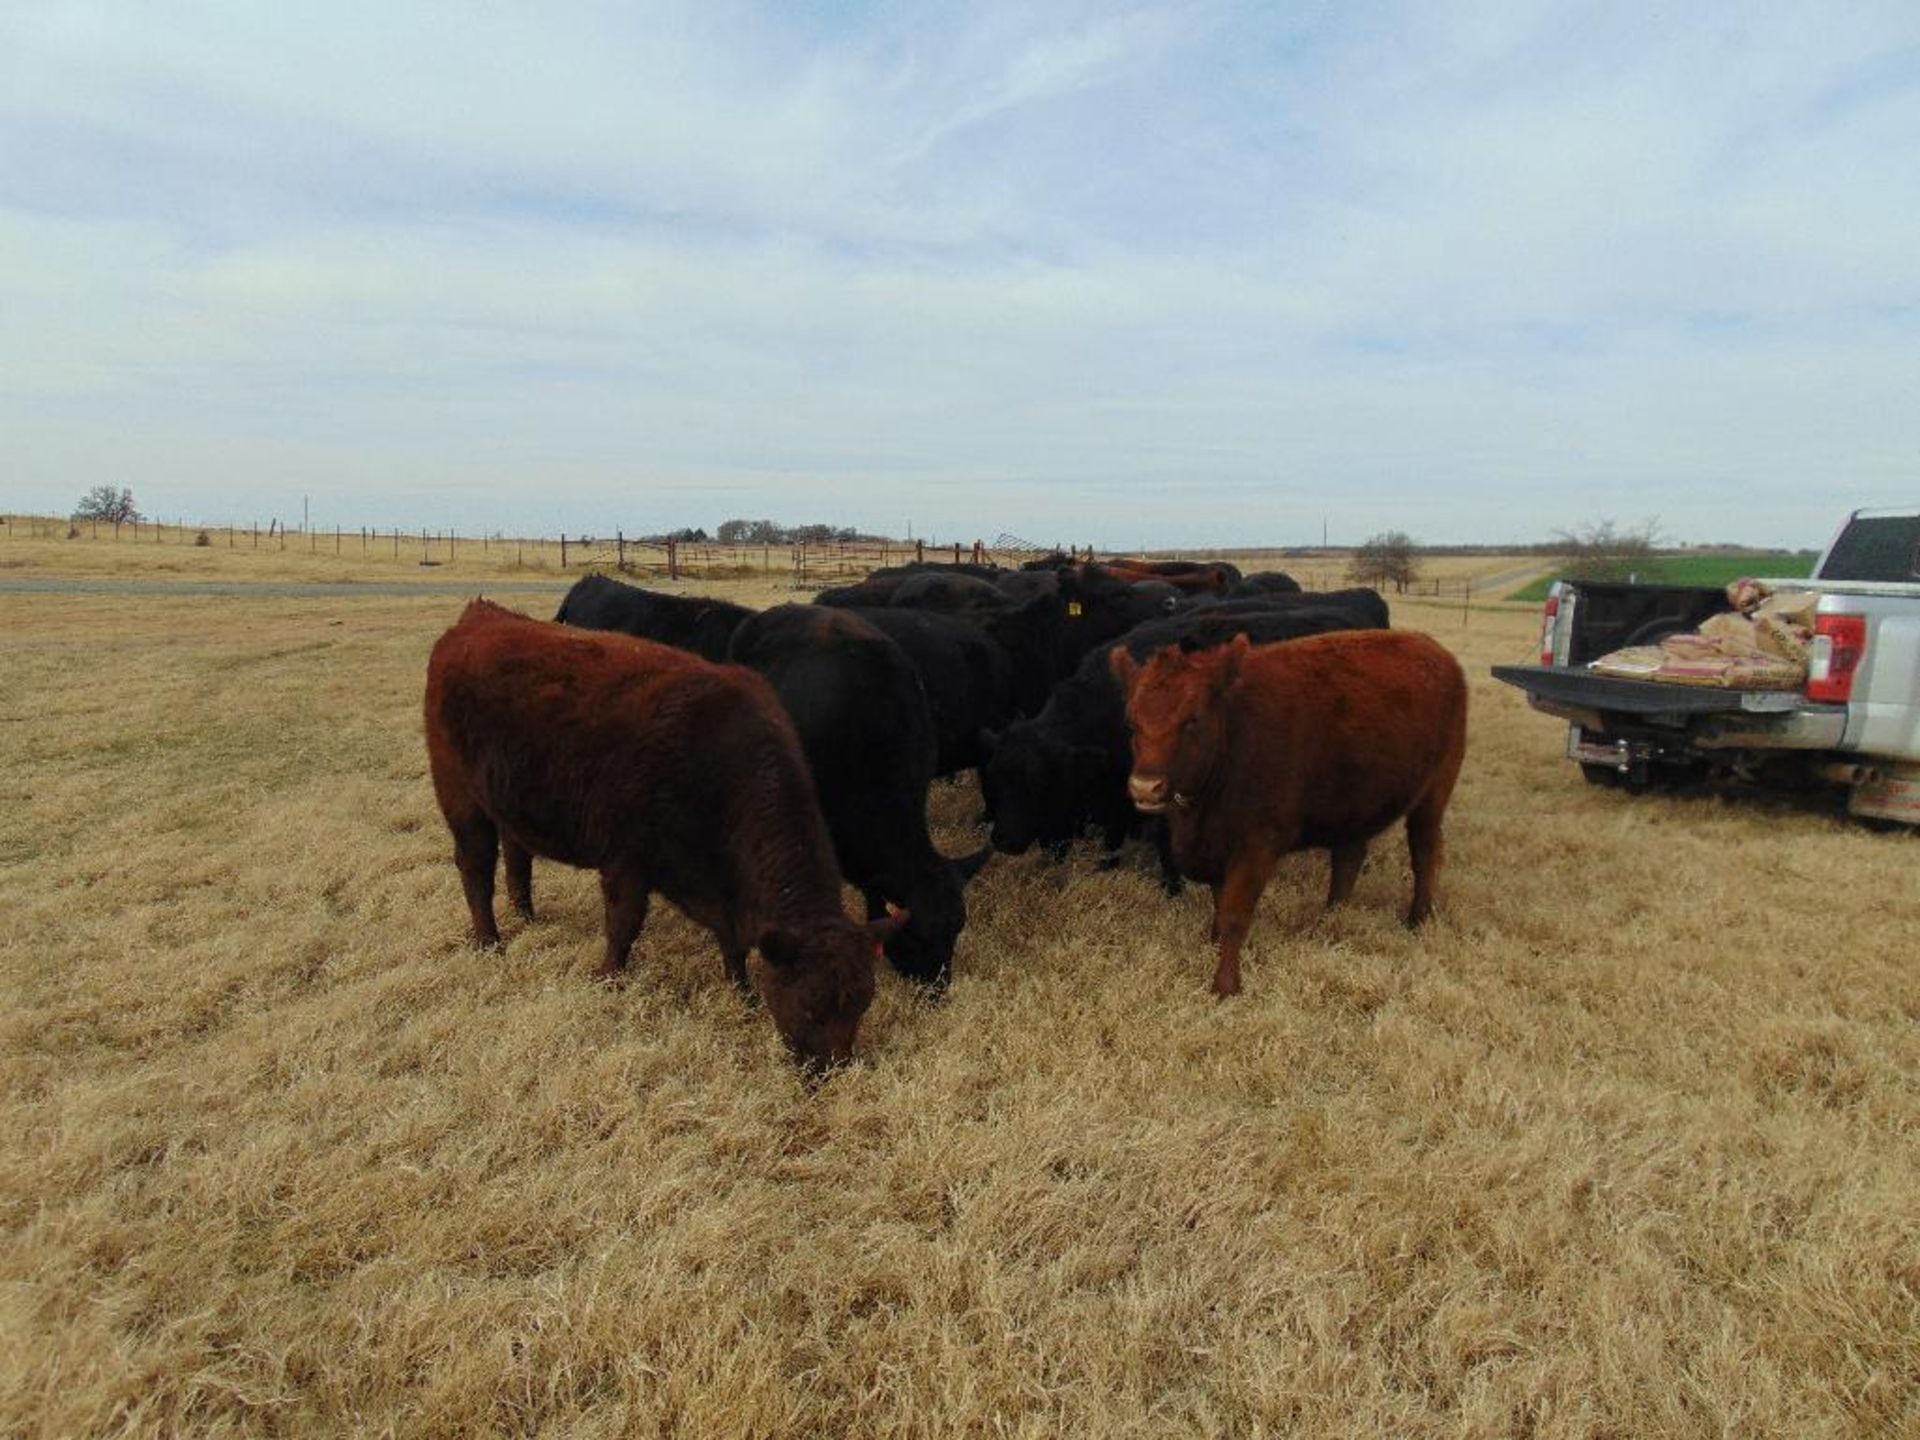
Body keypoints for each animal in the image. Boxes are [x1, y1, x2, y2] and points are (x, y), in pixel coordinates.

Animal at [424, 599, 902, 1075]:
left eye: (863, 1001)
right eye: (810, 1004)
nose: (835, 1069)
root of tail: (481, 616)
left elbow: (732, 943)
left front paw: (742, 991)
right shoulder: (626, 860)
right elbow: (624, 925)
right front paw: (609, 977)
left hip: (507, 800)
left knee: (516, 853)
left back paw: (525, 914)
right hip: (461, 799)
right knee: (476, 867)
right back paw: (489, 940)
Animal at [1113, 637, 1466, 998]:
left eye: (1192, 720)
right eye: (1131, 723)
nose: (1145, 786)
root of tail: (1435, 650)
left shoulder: (1257, 846)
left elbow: (1235, 913)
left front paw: (1226, 985)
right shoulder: (1216, 846)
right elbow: (1219, 902)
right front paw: (1213, 943)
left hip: (1433, 795)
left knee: (1424, 853)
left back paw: (1417, 919)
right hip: (1353, 806)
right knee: (1349, 859)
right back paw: (1329, 920)